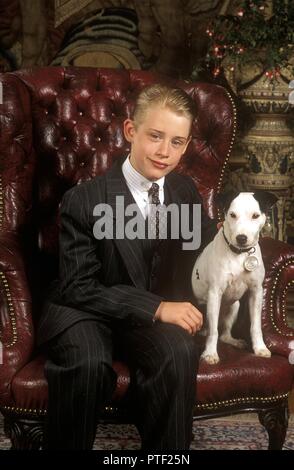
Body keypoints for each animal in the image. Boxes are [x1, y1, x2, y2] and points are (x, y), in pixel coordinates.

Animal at [192, 190, 276, 364]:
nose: (241, 238)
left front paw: (260, 348)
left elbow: (256, 326)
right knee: (212, 330)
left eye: (255, 215)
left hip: (234, 306)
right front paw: (210, 353)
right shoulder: (214, 294)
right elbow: (213, 332)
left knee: (224, 334)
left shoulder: (256, 292)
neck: (239, 254)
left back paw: (234, 341)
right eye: (232, 215)